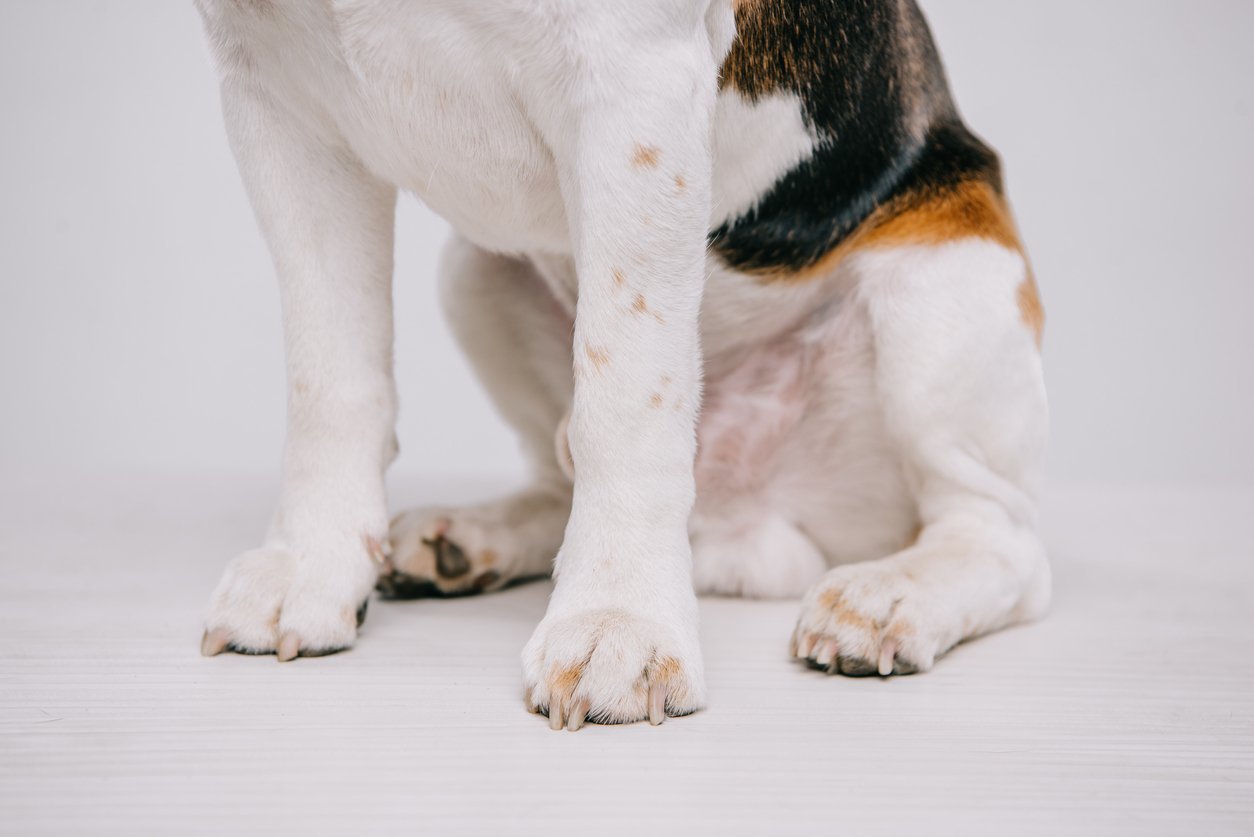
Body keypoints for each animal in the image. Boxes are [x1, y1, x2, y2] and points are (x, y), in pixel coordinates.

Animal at [195, 0, 1053, 727]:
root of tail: (743, 523)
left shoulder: (631, 87)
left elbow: (625, 398)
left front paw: (617, 619)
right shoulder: (273, 94)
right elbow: (330, 379)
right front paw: (310, 564)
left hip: (943, 283)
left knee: (1001, 534)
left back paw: (888, 594)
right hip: (474, 268)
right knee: (553, 475)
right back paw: (472, 538)